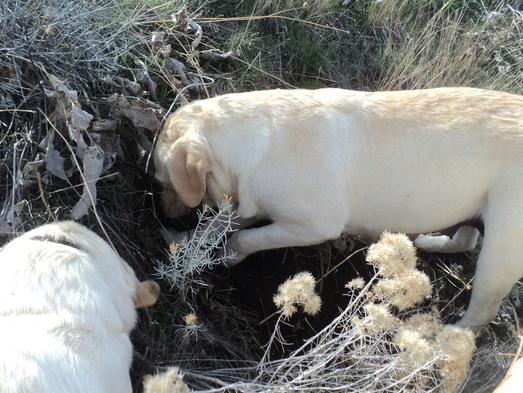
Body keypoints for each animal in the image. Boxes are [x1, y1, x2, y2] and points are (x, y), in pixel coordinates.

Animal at [155, 88, 523, 330]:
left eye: (163, 182)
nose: (164, 213)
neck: (255, 143)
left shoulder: (313, 225)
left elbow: (244, 239)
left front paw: (226, 257)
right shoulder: (246, 203)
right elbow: (215, 227)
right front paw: (184, 242)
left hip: (501, 252)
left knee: (482, 310)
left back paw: (447, 341)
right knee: (465, 238)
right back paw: (426, 242)